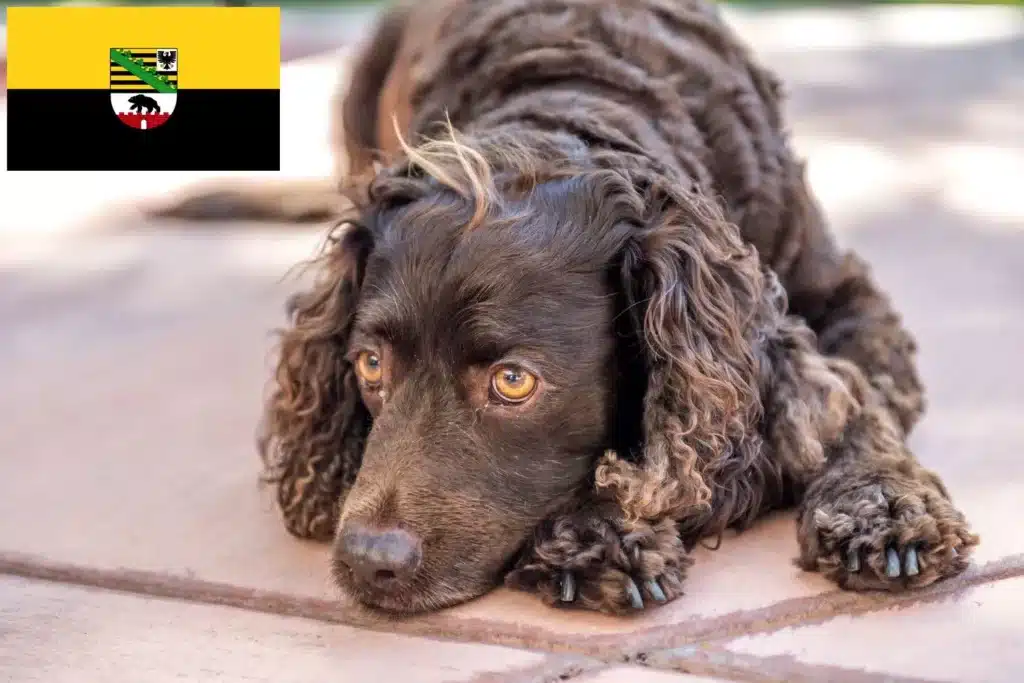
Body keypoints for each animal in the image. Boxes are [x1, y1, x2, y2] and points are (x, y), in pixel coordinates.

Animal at [151, 0, 974, 618]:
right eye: (371, 365)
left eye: (514, 381)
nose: (366, 561)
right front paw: (600, 533)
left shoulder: (847, 304)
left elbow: (854, 405)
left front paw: (884, 509)